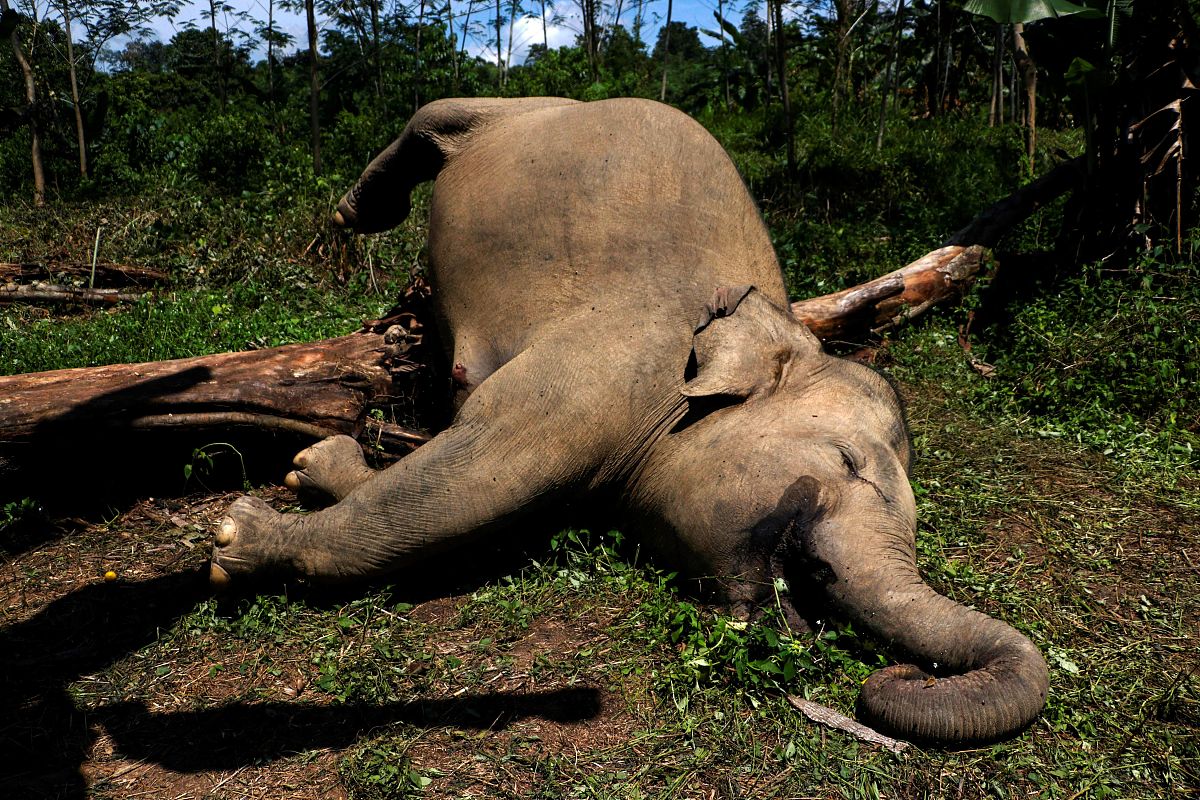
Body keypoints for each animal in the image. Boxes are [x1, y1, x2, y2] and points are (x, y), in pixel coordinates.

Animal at [209, 97, 1048, 745]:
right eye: (845, 460)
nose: (891, 675)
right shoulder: (606, 376)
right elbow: (457, 488)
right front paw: (237, 538)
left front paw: (314, 468)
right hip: (516, 112)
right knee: (441, 114)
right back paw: (355, 207)